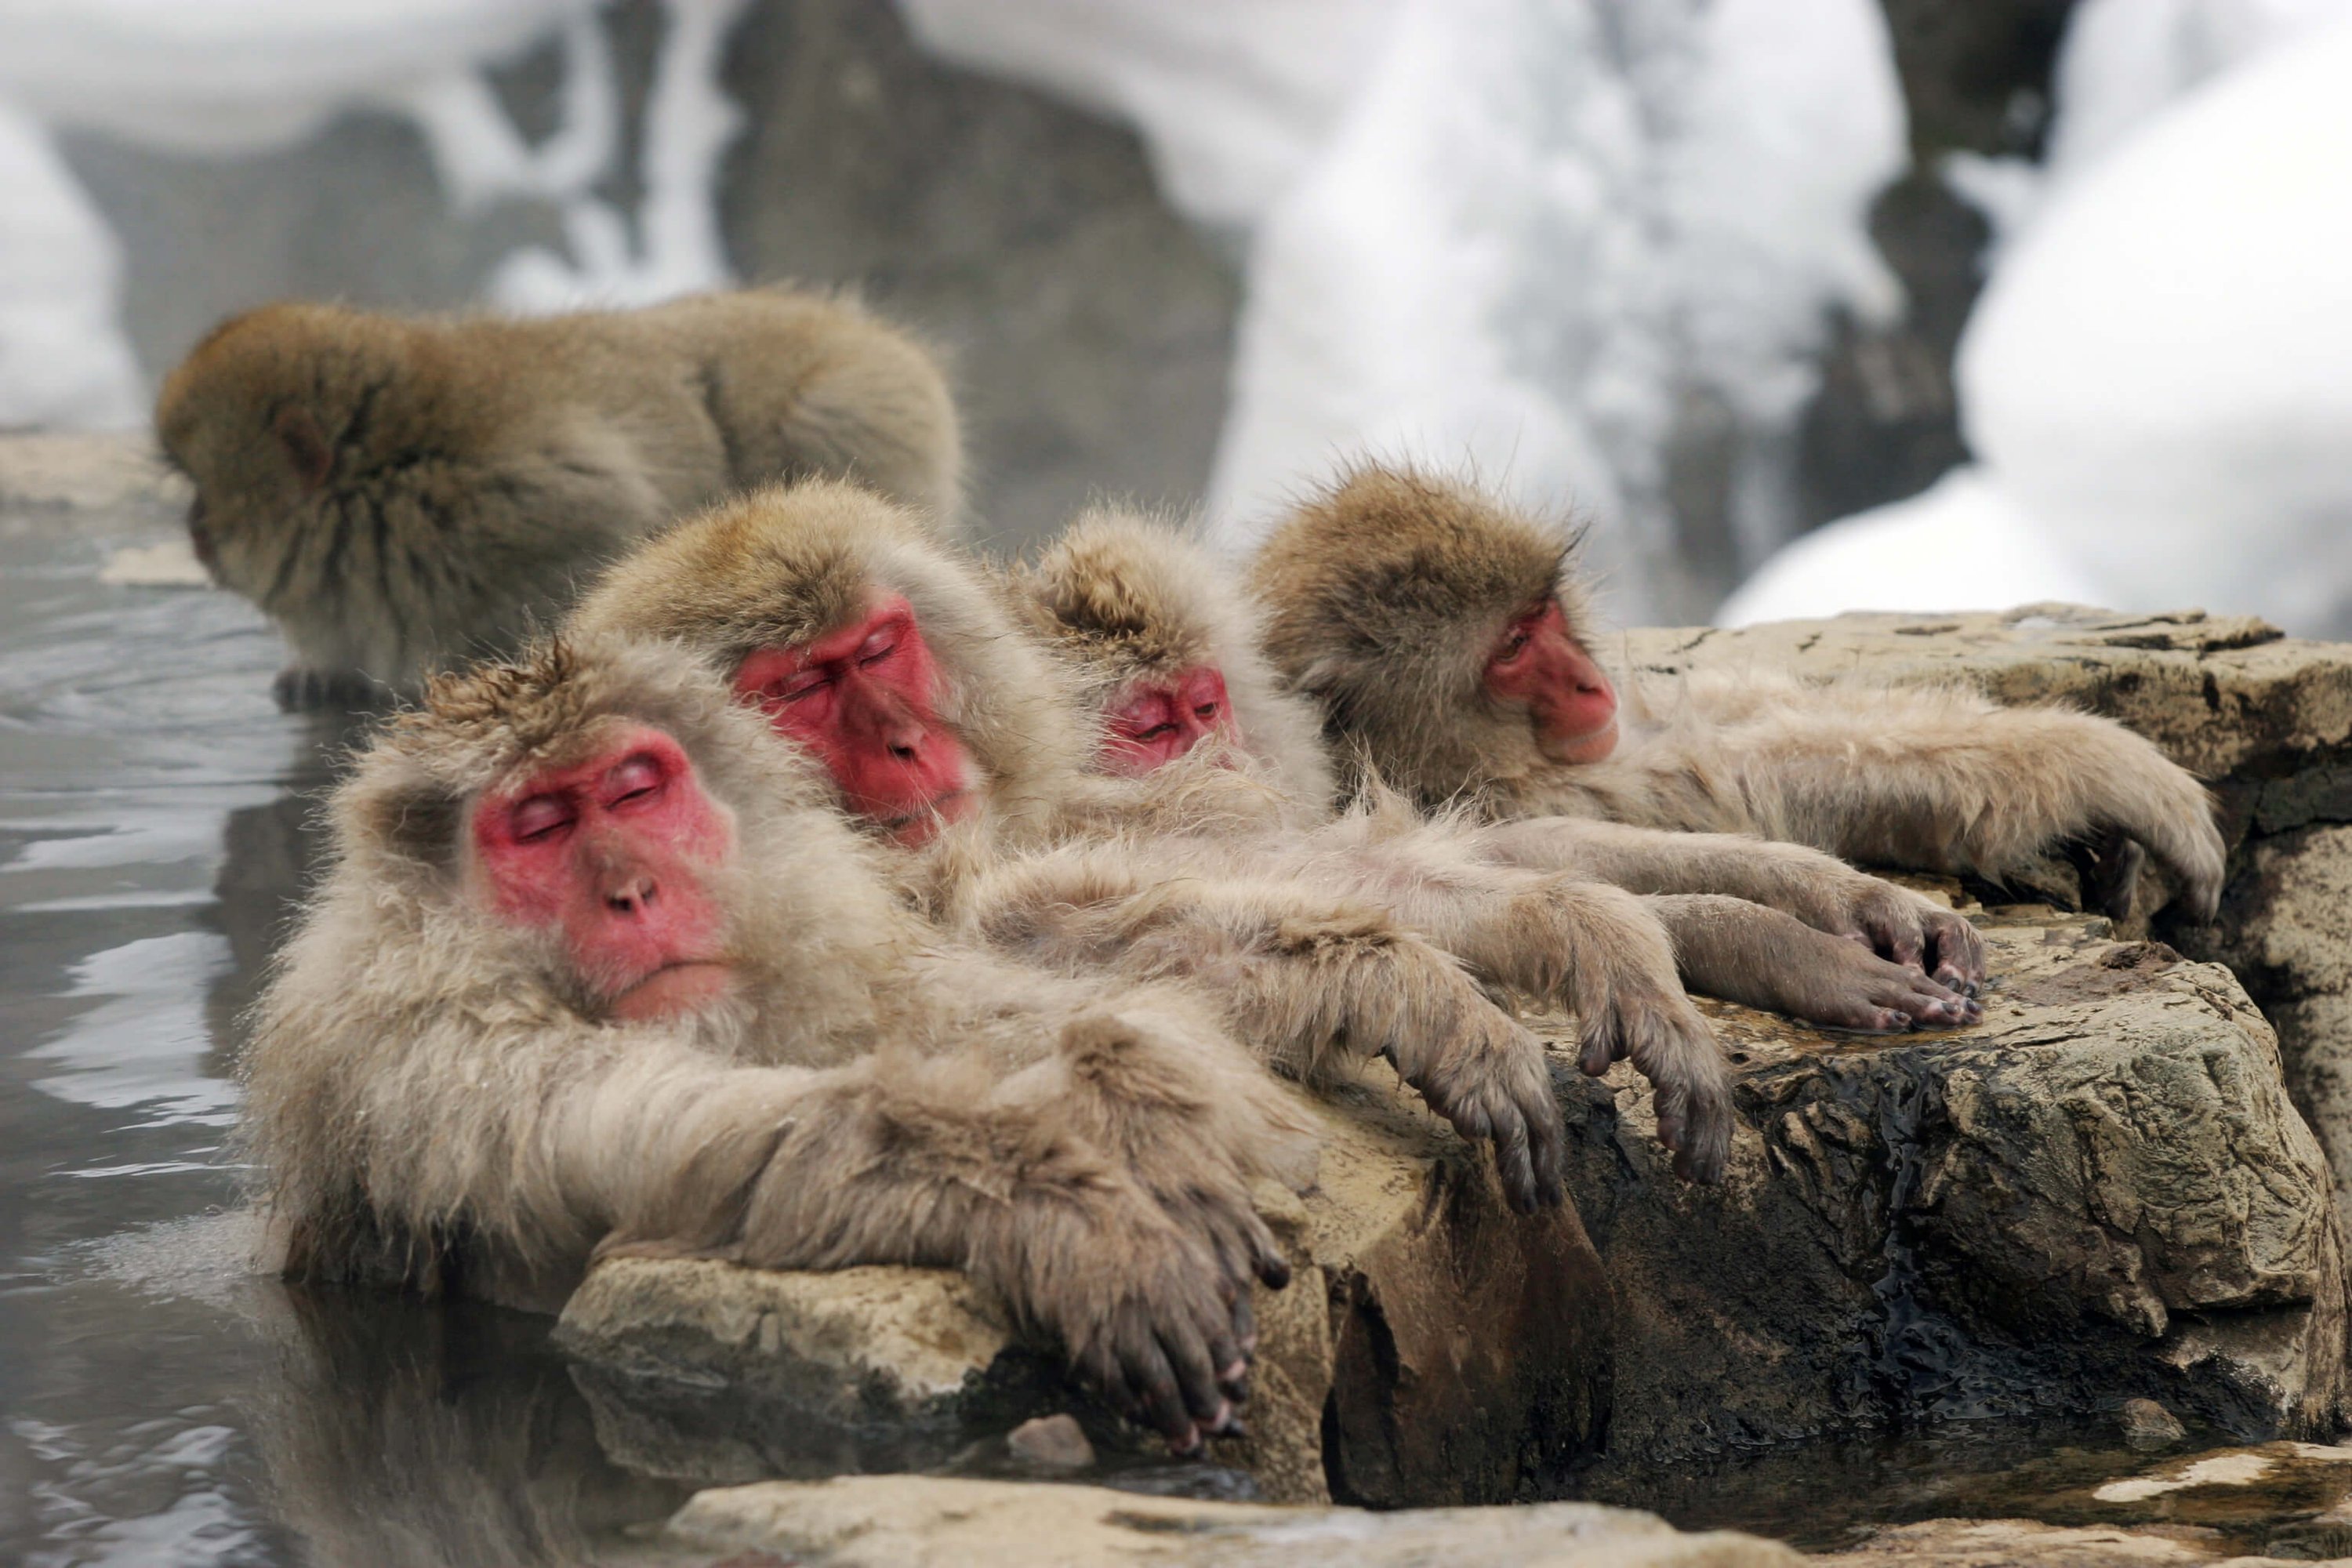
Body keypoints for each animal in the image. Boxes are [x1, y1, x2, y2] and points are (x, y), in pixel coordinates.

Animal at [158, 290, 964, 710]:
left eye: (203, 494)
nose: (193, 533)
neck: (387, 478)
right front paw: (322, 672)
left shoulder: (526, 500)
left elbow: (609, 527)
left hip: (857, 408)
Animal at [245, 630, 1317, 1457]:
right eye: (541, 827)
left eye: (633, 795)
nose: (632, 889)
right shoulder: (428, 1054)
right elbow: (672, 1139)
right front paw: (1063, 1210)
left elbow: (962, 1008)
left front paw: (1139, 1100)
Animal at [1242, 465, 2230, 931]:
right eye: (1513, 650)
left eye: (1541, 612)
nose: (1588, 680)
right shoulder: (1524, 790)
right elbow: (1739, 777)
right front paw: (2102, 763)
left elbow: (1719, 717)